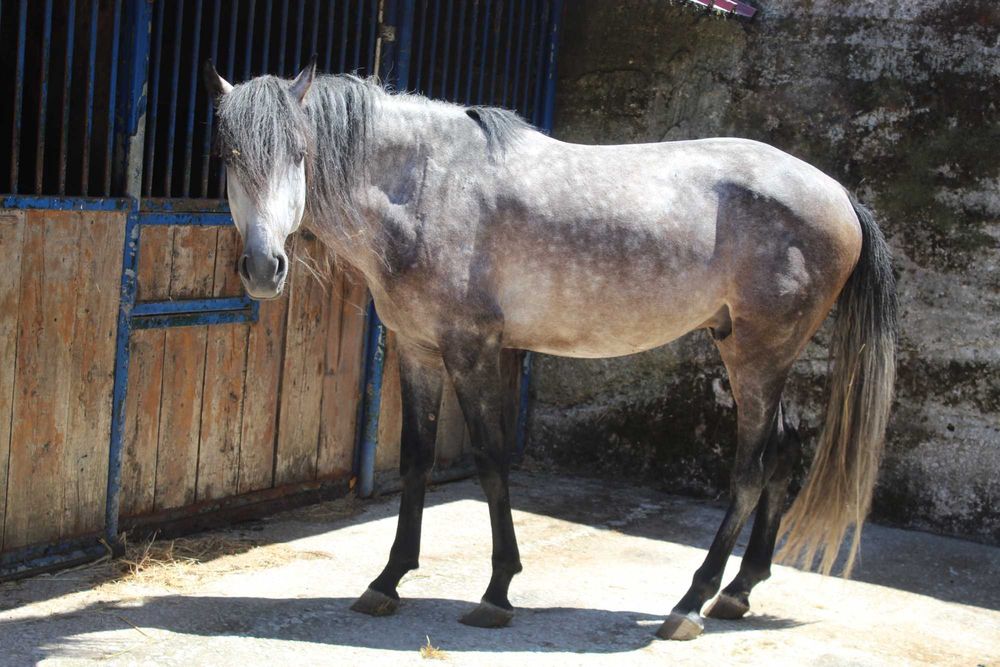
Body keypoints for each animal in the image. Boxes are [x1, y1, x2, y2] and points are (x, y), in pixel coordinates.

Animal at [203, 58, 897, 641]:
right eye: (229, 156)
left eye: (300, 153)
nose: (264, 268)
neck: (423, 189)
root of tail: (838, 195)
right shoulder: (418, 350)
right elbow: (417, 460)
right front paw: (388, 581)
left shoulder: (472, 350)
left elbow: (489, 461)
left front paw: (496, 591)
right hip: (752, 354)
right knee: (782, 455)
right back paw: (738, 592)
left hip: (757, 357)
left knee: (751, 472)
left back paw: (689, 604)